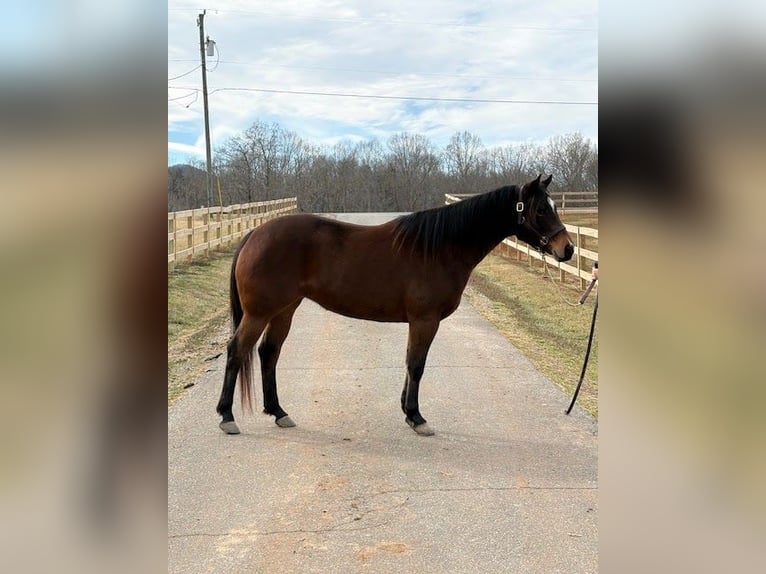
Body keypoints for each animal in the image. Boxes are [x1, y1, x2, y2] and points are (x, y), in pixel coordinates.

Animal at [216, 174, 574, 436]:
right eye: (541, 209)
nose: (567, 249)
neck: (440, 248)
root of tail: (254, 234)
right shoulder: (425, 320)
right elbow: (417, 365)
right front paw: (416, 418)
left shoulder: (419, 322)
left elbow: (410, 362)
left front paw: (407, 411)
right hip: (259, 313)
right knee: (237, 350)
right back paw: (226, 416)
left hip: (284, 310)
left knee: (268, 353)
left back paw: (278, 412)